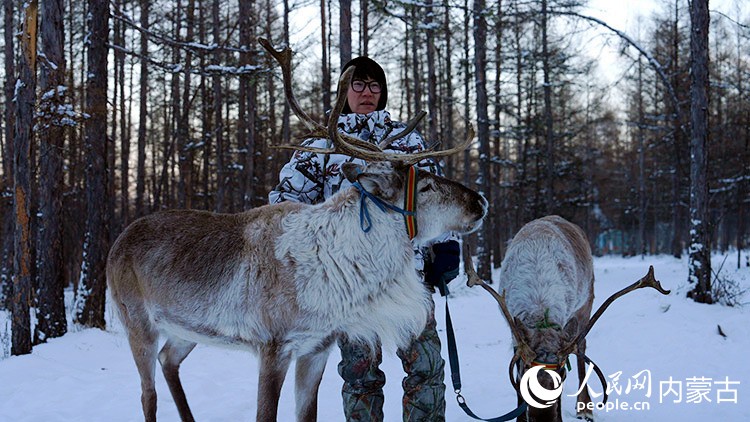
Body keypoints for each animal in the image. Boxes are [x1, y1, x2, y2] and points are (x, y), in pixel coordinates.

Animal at [107, 38, 488, 422]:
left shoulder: (317, 348)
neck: (338, 270)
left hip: (188, 329)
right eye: (424, 186)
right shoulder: (273, 347)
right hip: (139, 323)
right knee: (147, 393)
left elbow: (307, 414)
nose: (480, 202)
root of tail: (117, 242)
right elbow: (265, 414)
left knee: (168, 359)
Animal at [463, 215, 669, 422]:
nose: (544, 420)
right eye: (525, 373)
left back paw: (585, 407)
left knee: (581, 348)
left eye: (561, 374)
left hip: (586, 303)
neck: (540, 311)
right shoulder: (514, 333)